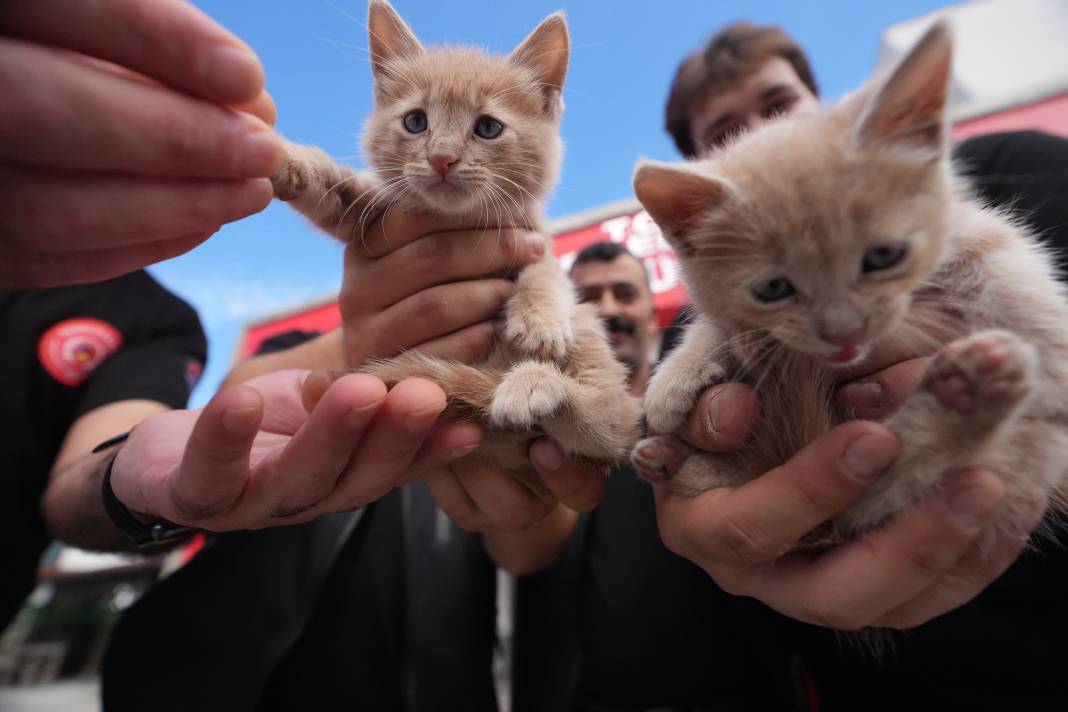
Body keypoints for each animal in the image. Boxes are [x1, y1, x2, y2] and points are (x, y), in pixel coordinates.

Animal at [271, 1, 636, 484]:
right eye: (415, 121)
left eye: (488, 127)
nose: (442, 158)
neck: (455, 219)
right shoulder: (371, 215)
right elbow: (334, 192)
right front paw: (287, 159)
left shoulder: (533, 237)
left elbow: (544, 273)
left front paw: (538, 322)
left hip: (596, 359)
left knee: (611, 422)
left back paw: (532, 384)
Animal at [627, 23, 1068, 546]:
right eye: (772, 289)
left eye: (883, 257)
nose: (843, 333)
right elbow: (719, 321)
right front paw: (673, 378)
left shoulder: (974, 230)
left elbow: (1009, 270)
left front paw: (1052, 364)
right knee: (860, 497)